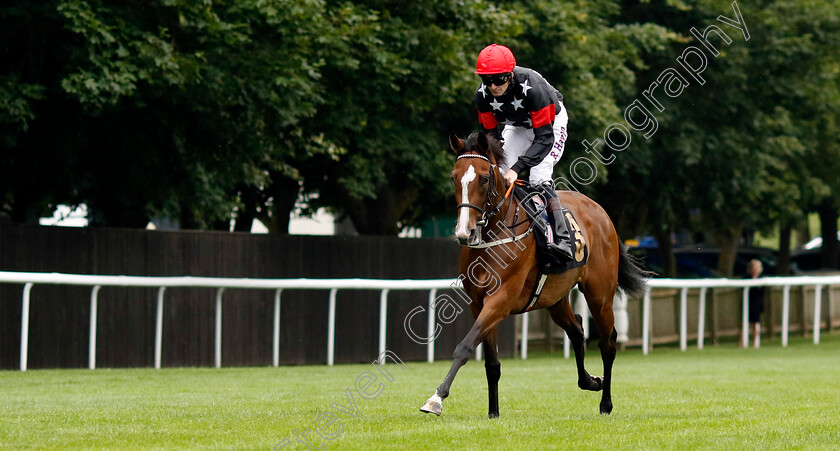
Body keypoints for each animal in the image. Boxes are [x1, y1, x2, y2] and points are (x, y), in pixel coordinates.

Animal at [420, 132, 648, 418]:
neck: (496, 233)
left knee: (608, 343)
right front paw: (493, 413)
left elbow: (465, 346)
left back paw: (606, 403)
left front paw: (436, 398)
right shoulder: (478, 302)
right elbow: (491, 364)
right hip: (555, 299)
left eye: (484, 178)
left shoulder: (501, 300)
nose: (465, 231)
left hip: (600, 295)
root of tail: (602, 212)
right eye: (454, 177)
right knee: (577, 329)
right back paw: (591, 381)